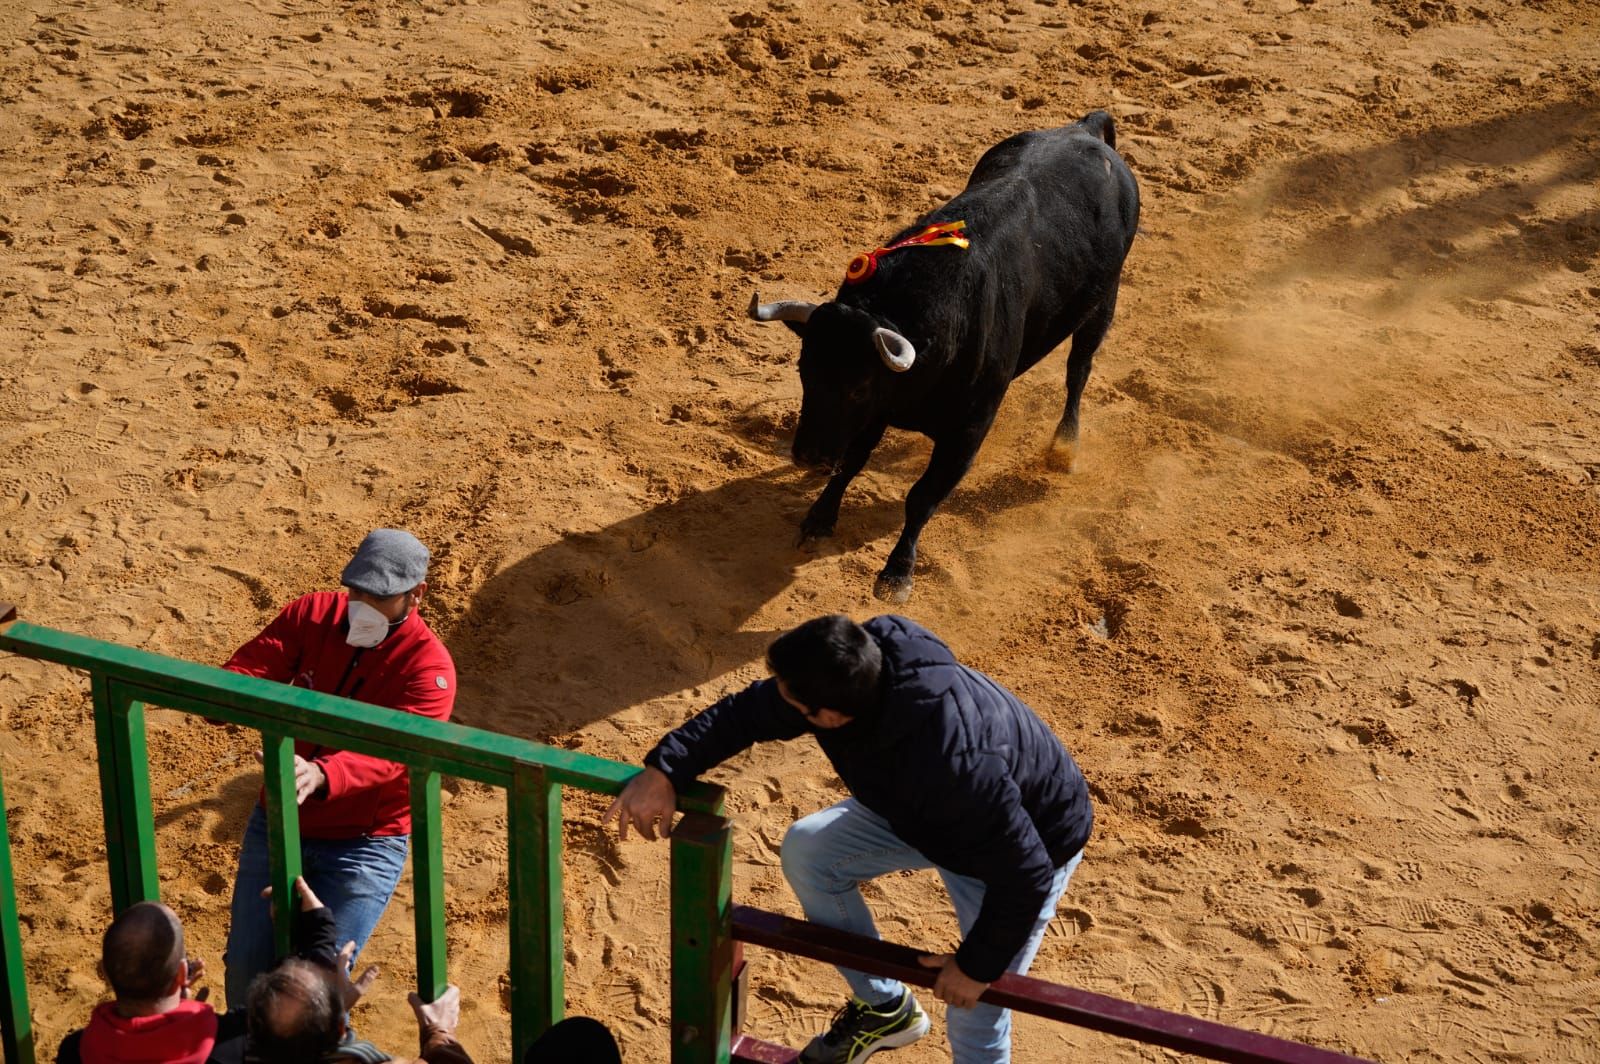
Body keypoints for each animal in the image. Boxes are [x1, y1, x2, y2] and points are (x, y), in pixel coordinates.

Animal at [745, 112, 1139, 601]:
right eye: (804, 371)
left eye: (857, 387)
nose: (808, 457)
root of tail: (1085, 128)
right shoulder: (878, 410)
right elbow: (853, 462)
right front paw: (818, 519)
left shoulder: (966, 431)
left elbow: (923, 496)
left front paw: (897, 572)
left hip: (1103, 303)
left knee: (1078, 371)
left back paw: (1064, 449)